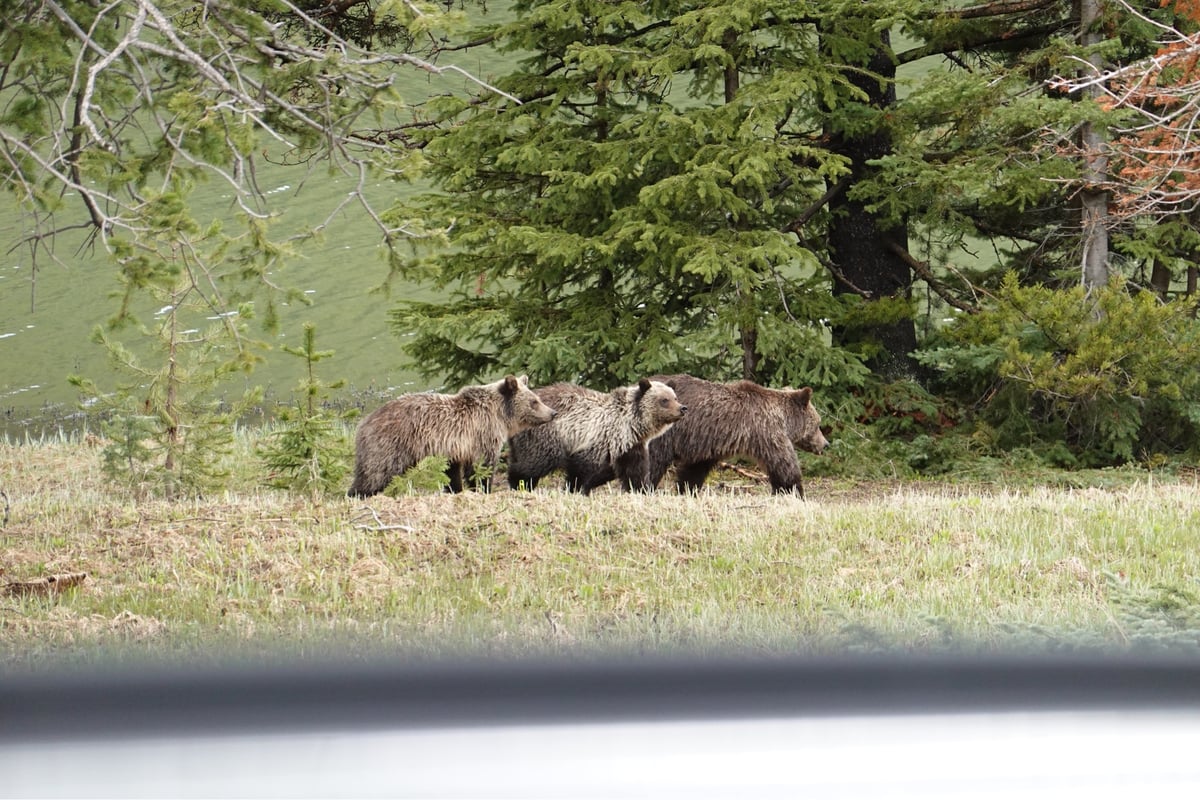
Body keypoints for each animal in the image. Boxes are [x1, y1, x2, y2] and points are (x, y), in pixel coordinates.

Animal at [347, 374, 556, 497]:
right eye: (534, 401)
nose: (552, 412)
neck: (500, 416)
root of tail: (363, 423)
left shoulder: (453, 449)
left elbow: (452, 473)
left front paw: (455, 490)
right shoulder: (482, 435)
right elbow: (481, 468)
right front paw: (483, 489)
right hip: (390, 446)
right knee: (375, 474)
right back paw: (357, 494)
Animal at [506, 378, 687, 495]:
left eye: (675, 397)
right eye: (664, 400)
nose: (682, 408)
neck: (630, 425)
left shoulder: (630, 446)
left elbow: (634, 471)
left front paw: (642, 489)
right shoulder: (595, 437)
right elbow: (581, 469)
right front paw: (575, 489)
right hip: (545, 436)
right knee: (534, 463)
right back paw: (518, 483)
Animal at [618, 374, 829, 497]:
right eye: (818, 424)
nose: (825, 444)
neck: (784, 420)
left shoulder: (708, 442)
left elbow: (694, 469)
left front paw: (686, 489)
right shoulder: (767, 432)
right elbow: (784, 465)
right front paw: (795, 492)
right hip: (661, 433)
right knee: (653, 460)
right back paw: (641, 487)